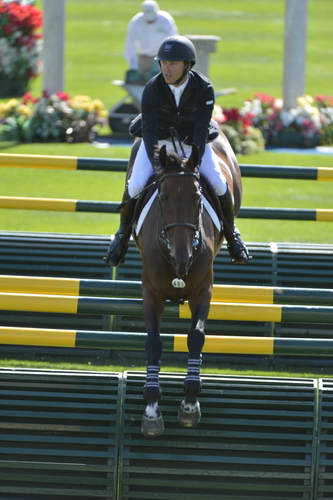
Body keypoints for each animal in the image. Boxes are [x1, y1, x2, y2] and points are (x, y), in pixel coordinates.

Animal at [126, 132, 240, 434]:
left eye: (198, 197)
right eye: (164, 197)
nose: (183, 256)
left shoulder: (203, 290)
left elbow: (196, 336)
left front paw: (190, 402)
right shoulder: (151, 293)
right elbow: (154, 343)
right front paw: (152, 408)